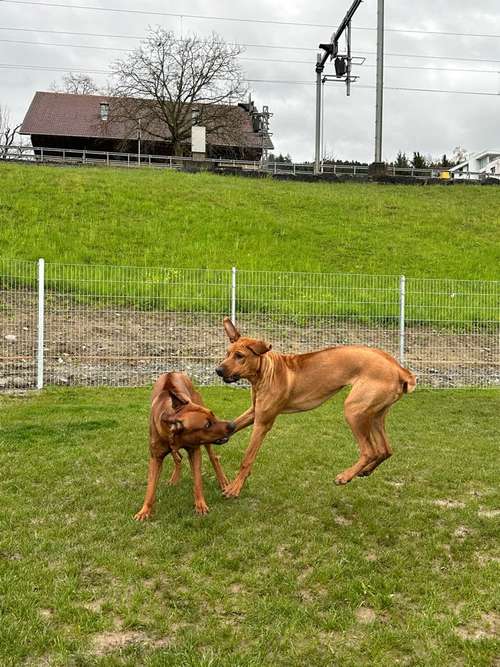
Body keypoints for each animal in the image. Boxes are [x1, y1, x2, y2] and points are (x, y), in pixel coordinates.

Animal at [135, 374, 236, 520]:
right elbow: (150, 487)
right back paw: (174, 478)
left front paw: (200, 505)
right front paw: (144, 511)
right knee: (178, 458)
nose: (233, 425)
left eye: (213, 414)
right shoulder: (156, 457)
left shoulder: (195, 450)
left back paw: (222, 481)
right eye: (207, 425)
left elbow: (198, 481)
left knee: (213, 458)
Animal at [217, 320, 416, 500]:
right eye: (227, 353)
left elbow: (247, 458)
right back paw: (365, 471)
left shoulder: (262, 422)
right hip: (375, 414)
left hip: (354, 410)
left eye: (240, 356)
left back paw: (345, 477)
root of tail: (399, 369)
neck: (265, 373)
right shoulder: (254, 412)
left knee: (370, 451)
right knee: (386, 449)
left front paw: (235, 488)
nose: (218, 370)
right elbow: (232, 425)